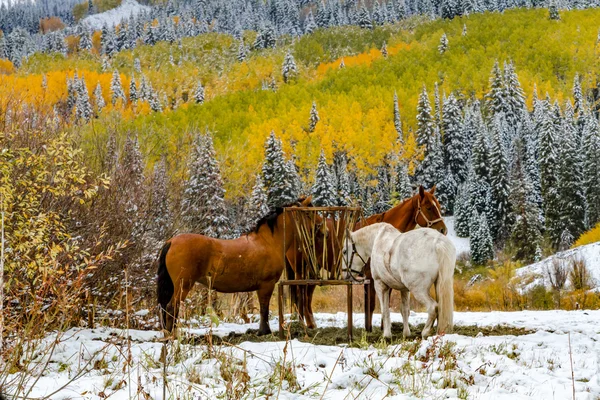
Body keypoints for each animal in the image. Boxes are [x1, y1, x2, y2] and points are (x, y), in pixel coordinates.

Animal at [157, 197, 322, 334]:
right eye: (309, 213)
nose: (322, 227)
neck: (268, 242)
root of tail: (171, 242)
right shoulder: (266, 285)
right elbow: (264, 309)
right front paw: (264, 331)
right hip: (183, 284)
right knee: (172, 307)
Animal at [288, 184, 448, 328]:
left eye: (439, 206)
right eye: (429, 207)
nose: (443, 230)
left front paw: (382, 326)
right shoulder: (371, 278)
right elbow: (371, 305)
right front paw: (371, 329)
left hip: (312, 271)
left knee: (307, 296)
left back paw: (311, 324)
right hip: (301, 271)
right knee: (300, 294)